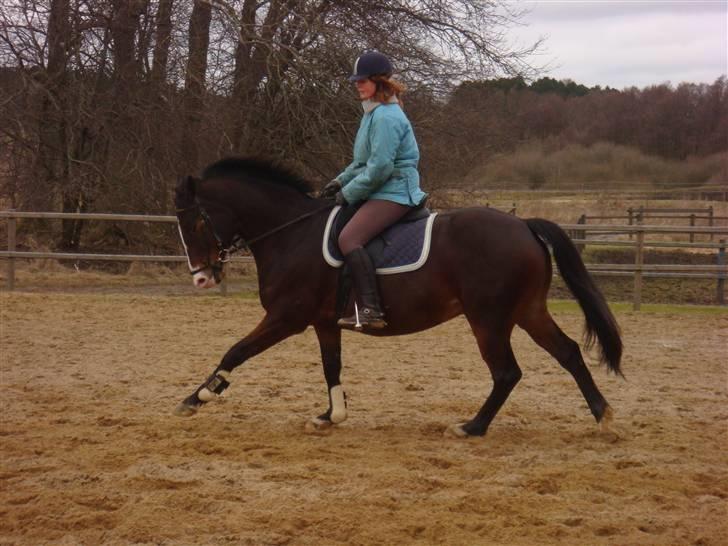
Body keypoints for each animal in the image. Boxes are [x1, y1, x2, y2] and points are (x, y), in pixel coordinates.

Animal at [173, 157, 624, 438]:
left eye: (196, 221)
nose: (201, 278)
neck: (291, 233)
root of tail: (524, 225)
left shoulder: (287, 317)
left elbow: (236, 350)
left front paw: (198, 397)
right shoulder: (323, 322)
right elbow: (331, 366)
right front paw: (331, 416)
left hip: (489, 318)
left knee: (507, 372)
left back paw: (471, 427)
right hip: (527, 311)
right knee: (568, 353)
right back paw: (603, 417)